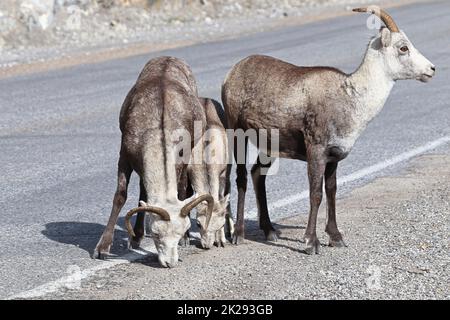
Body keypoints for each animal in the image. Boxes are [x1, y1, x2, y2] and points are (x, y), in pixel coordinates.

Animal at [93, 55, 213, 268]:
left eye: (179, 232)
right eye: (157, 235)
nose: (170, 262)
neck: (158, 127)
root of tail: (169, 58)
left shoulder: (181, 159)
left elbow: (180, 190)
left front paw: (185, 239)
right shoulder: (125, 157)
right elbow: (120, 196)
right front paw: (102, 249)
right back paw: (136, 237)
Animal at [222, 7, 436, 254]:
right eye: (403, 48)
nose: (431, 70)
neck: (350, 98)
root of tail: (232, 73)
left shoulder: (334, 156)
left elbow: (331, 191)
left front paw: (336, 237)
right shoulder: (316, 151)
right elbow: (316, 194)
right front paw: (311, 242)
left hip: (268, 146)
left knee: (258, 173)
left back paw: (270, 232)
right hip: (237, 132)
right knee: (240, 178)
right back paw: (238, 234)